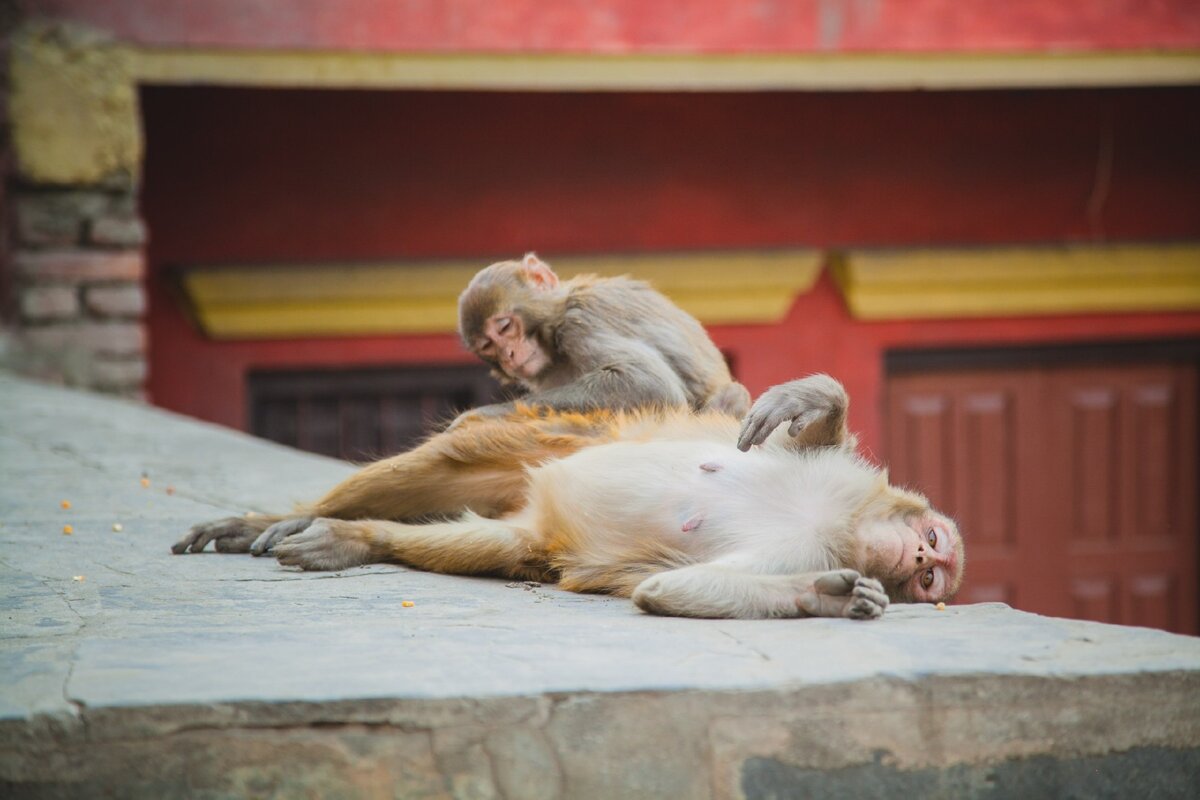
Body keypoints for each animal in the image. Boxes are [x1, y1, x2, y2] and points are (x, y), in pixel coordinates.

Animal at [175, 371, 964, 623]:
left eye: (931, 578)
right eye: (931, 551)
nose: (922, 557)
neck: (845, 522)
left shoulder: (811, 545)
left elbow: (672, 589)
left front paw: (827, 599)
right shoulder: (847, 487)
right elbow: (810, 430)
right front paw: (808, 400)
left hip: (533, 525)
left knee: (495, 542)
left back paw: (357, 538)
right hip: (556, 434)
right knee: (441, 462)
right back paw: (282, 521)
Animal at [451, 253, 748, 422]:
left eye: (504, 327)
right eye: (488, 346)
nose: (509, 355)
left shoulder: (581, 323)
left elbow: (649, 382)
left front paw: (480, 415)